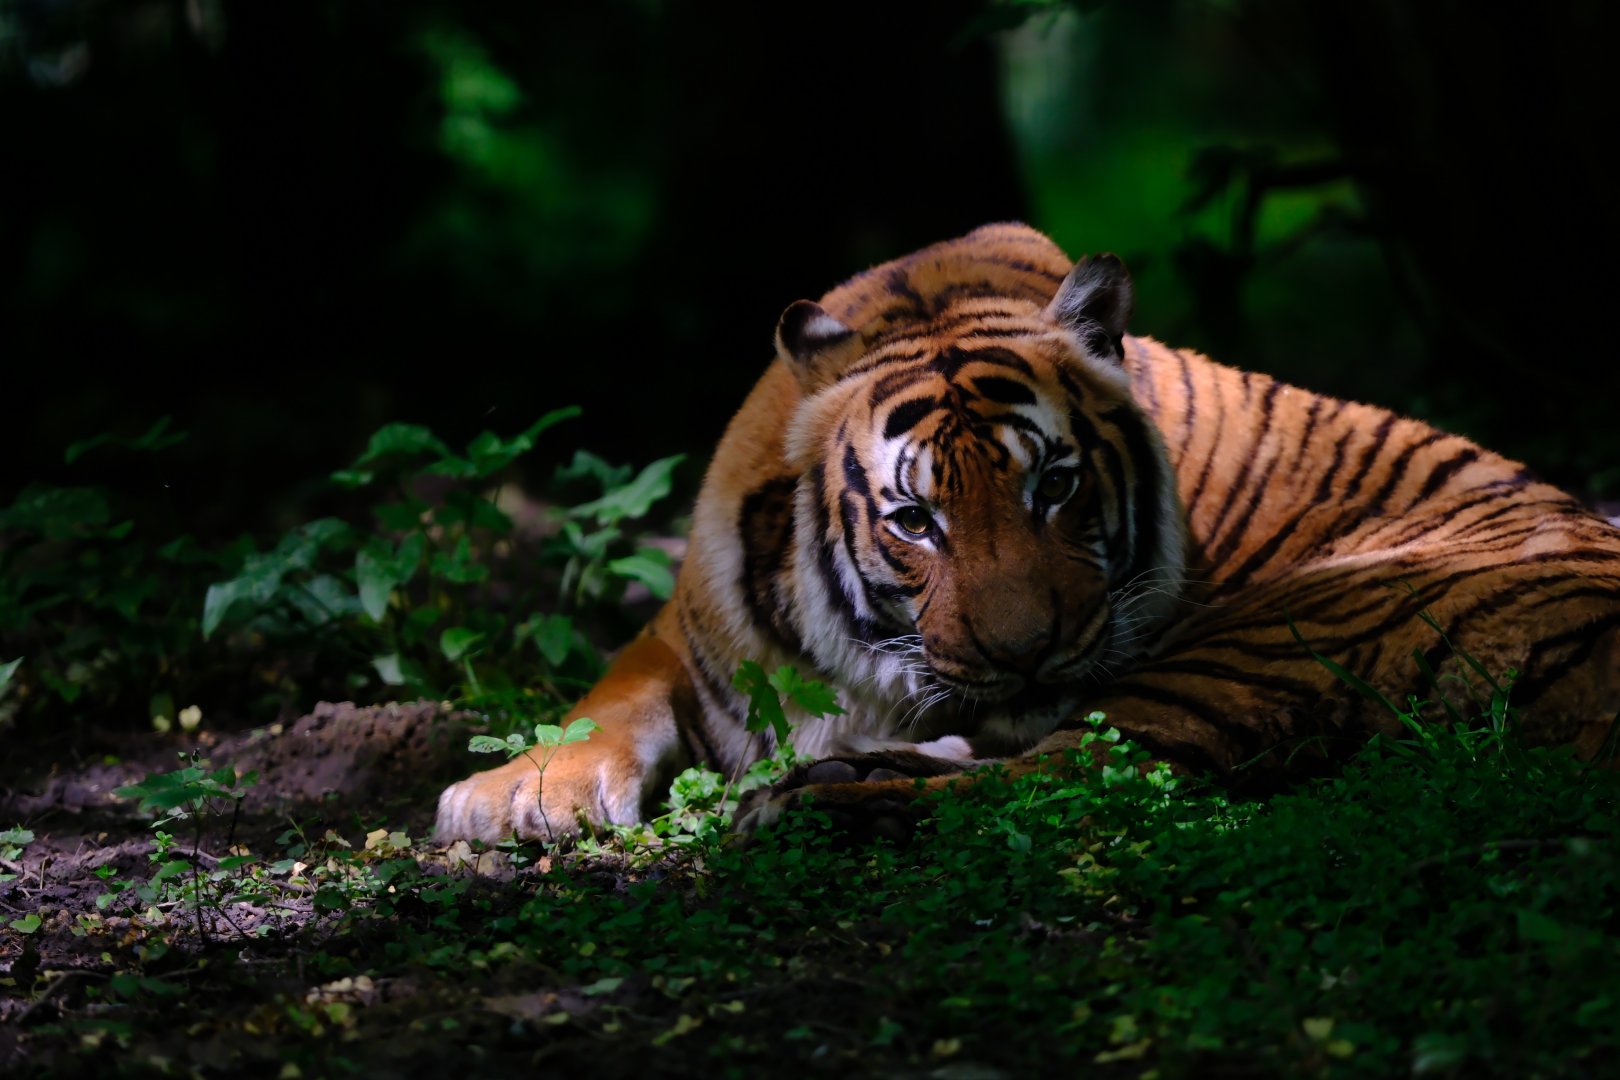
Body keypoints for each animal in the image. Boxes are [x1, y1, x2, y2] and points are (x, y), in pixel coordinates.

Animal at [434, 222, 1620, 844]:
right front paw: (512, 794)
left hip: (1281, 629)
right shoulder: (691, 624)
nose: (1027, 653)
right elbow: (610, 690)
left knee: (1075, 774)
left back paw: (817, 799)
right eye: (914, 521)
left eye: (1056, 486)